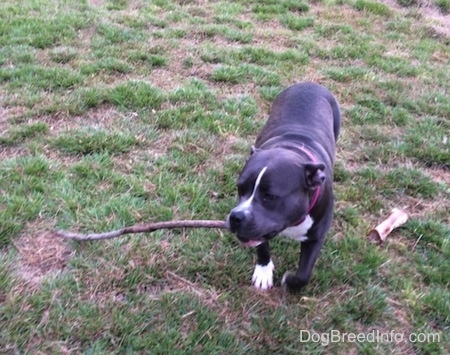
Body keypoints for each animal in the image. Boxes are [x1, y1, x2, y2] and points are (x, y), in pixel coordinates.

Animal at [227, 82, 340, 294]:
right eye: (240, 189)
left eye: (270, 196)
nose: (236, 217)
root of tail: (310, 83)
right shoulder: (260, 226)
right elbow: (262, 247)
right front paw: (263, 272)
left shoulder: (316, 237)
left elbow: (304, 274)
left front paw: (290, 281)